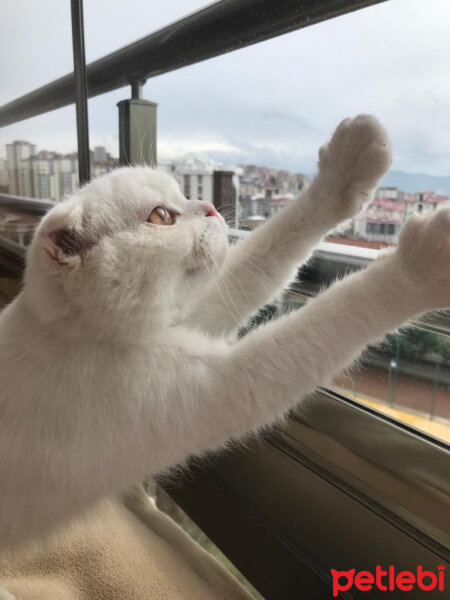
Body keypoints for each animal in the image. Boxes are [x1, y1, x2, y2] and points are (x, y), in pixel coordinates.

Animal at [0, 115, 450, 552]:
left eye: (185, 194)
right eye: (160, 216)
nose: (210, 206)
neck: (70, 332)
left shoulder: (192, 317)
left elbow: (264, 256)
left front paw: (344, 170)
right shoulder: (222, 384)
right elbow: (336, 313)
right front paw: (415, 268)